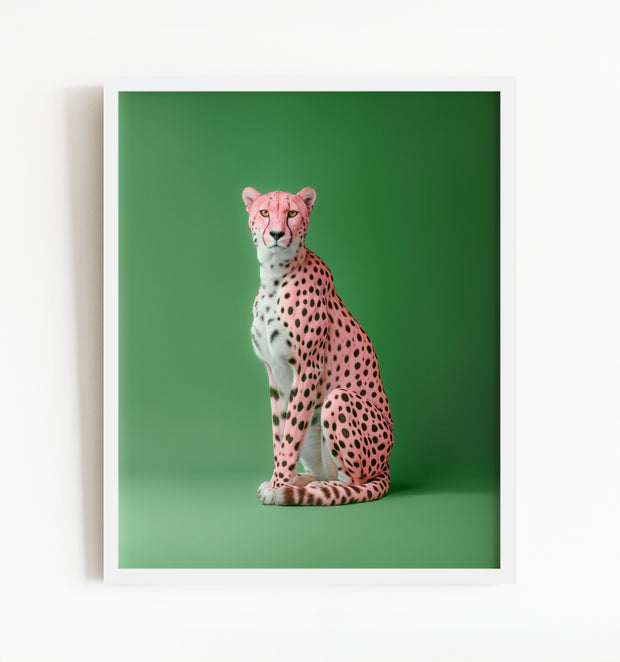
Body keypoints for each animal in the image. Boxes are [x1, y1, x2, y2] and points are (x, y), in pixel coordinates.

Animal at [243, 186, 393, 505]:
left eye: (292, 213)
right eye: (264, 212)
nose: (276, 234)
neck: (274, 275)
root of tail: (386, 466)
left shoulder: (308, 368)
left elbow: (290, 436)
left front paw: (278, 486)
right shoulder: (274, 373)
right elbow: (280, 433)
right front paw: (278, 480)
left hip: (337, 400)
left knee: (353, 482)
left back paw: (308, 489)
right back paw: (302, 481)